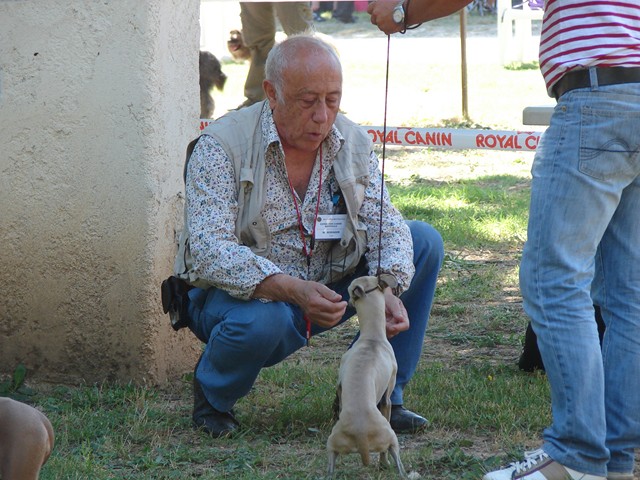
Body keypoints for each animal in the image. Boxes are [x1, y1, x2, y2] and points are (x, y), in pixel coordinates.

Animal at [328, 276, 408, 478]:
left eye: (349, 291)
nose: (347, 301)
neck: (372, 338)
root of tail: (361, 433)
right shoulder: (387, 394)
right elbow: (387, 402)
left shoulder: (340, 381)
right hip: (390, 436)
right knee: (392, 454)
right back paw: (394, 468)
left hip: (332, 441)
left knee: (331, 462)